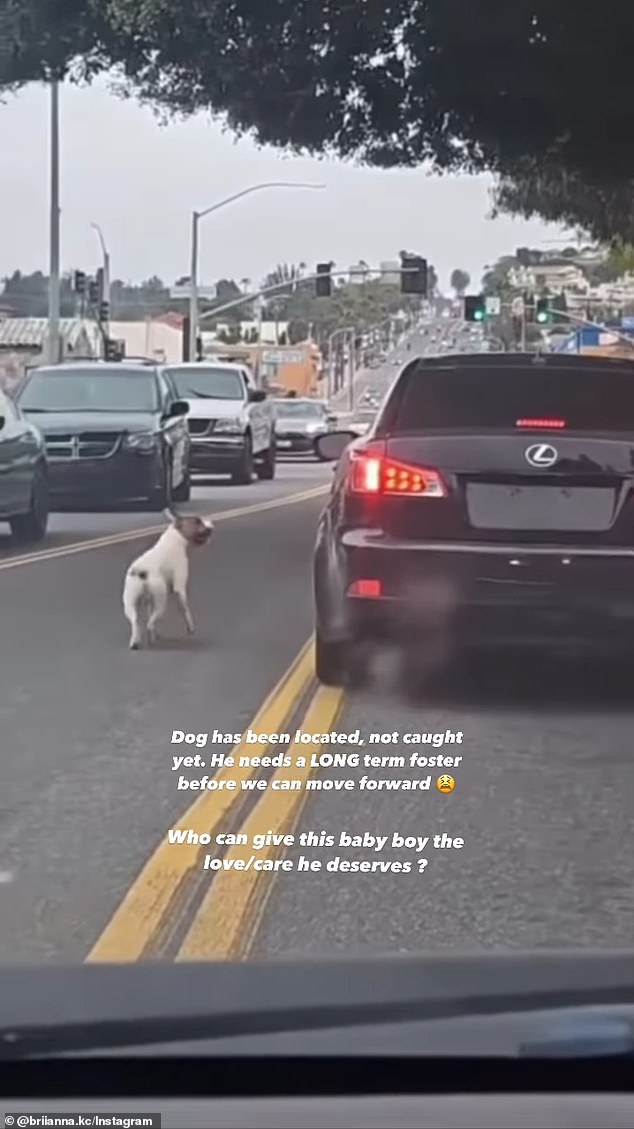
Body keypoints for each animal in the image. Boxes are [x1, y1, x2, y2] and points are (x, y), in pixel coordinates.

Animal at [122, 510, 213, 650]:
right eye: (197, 521)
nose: (212, 526)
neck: (175, 537)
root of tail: (141, 572)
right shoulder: (179, 589)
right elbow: (185, 610)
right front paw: (190, 628)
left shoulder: (150, 601)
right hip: (160, 600)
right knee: (150, 622)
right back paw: (151, 637)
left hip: (130, 602)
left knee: (136, 622)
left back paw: (135, 642)